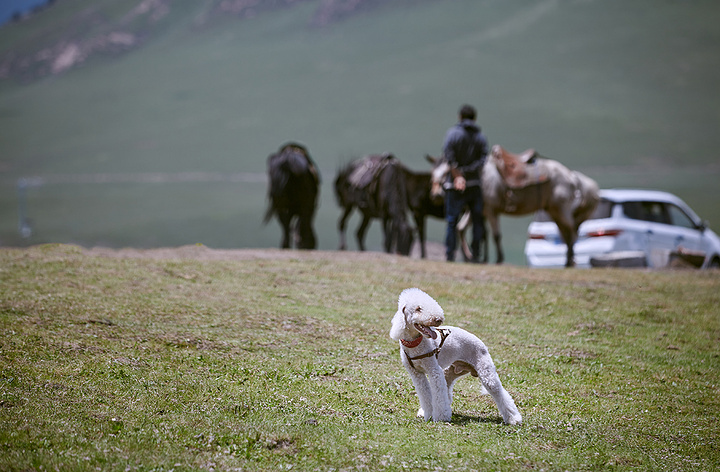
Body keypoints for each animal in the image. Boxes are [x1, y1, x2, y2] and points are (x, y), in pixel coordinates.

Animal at [390, 288, 520, 424]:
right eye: (418, 308)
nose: (438, 319)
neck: (416, 343)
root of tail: (481, 342)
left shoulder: (434, 371)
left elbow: (438, 396)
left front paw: (441, 417)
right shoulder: (416, 374)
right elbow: (425, 395)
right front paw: (428, 413)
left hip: (486, 372)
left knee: (500, 393)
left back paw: (514, 418)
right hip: (450, 372)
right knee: (446, 391)